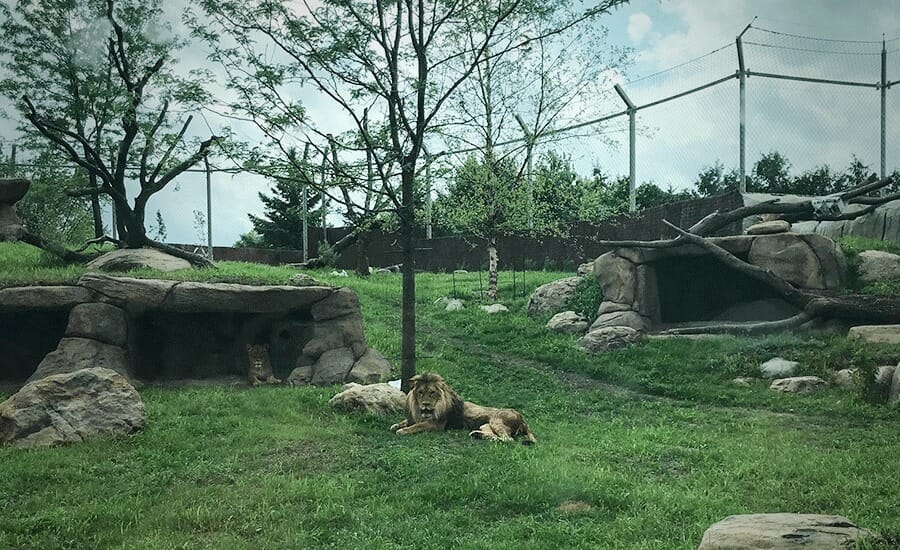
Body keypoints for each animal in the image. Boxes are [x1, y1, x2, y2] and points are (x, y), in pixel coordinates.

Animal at [386, 374, 536, 446]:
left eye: (432, 392)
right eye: (421, 393)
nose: (426, 404)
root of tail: (522, 418)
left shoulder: (436, 424)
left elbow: (417, 426)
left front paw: (402, 430)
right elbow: (407, 421)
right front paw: (396, 425)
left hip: (496, 420)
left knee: (508, 439)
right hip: (485, 425)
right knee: (496, 436)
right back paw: (476, 434)